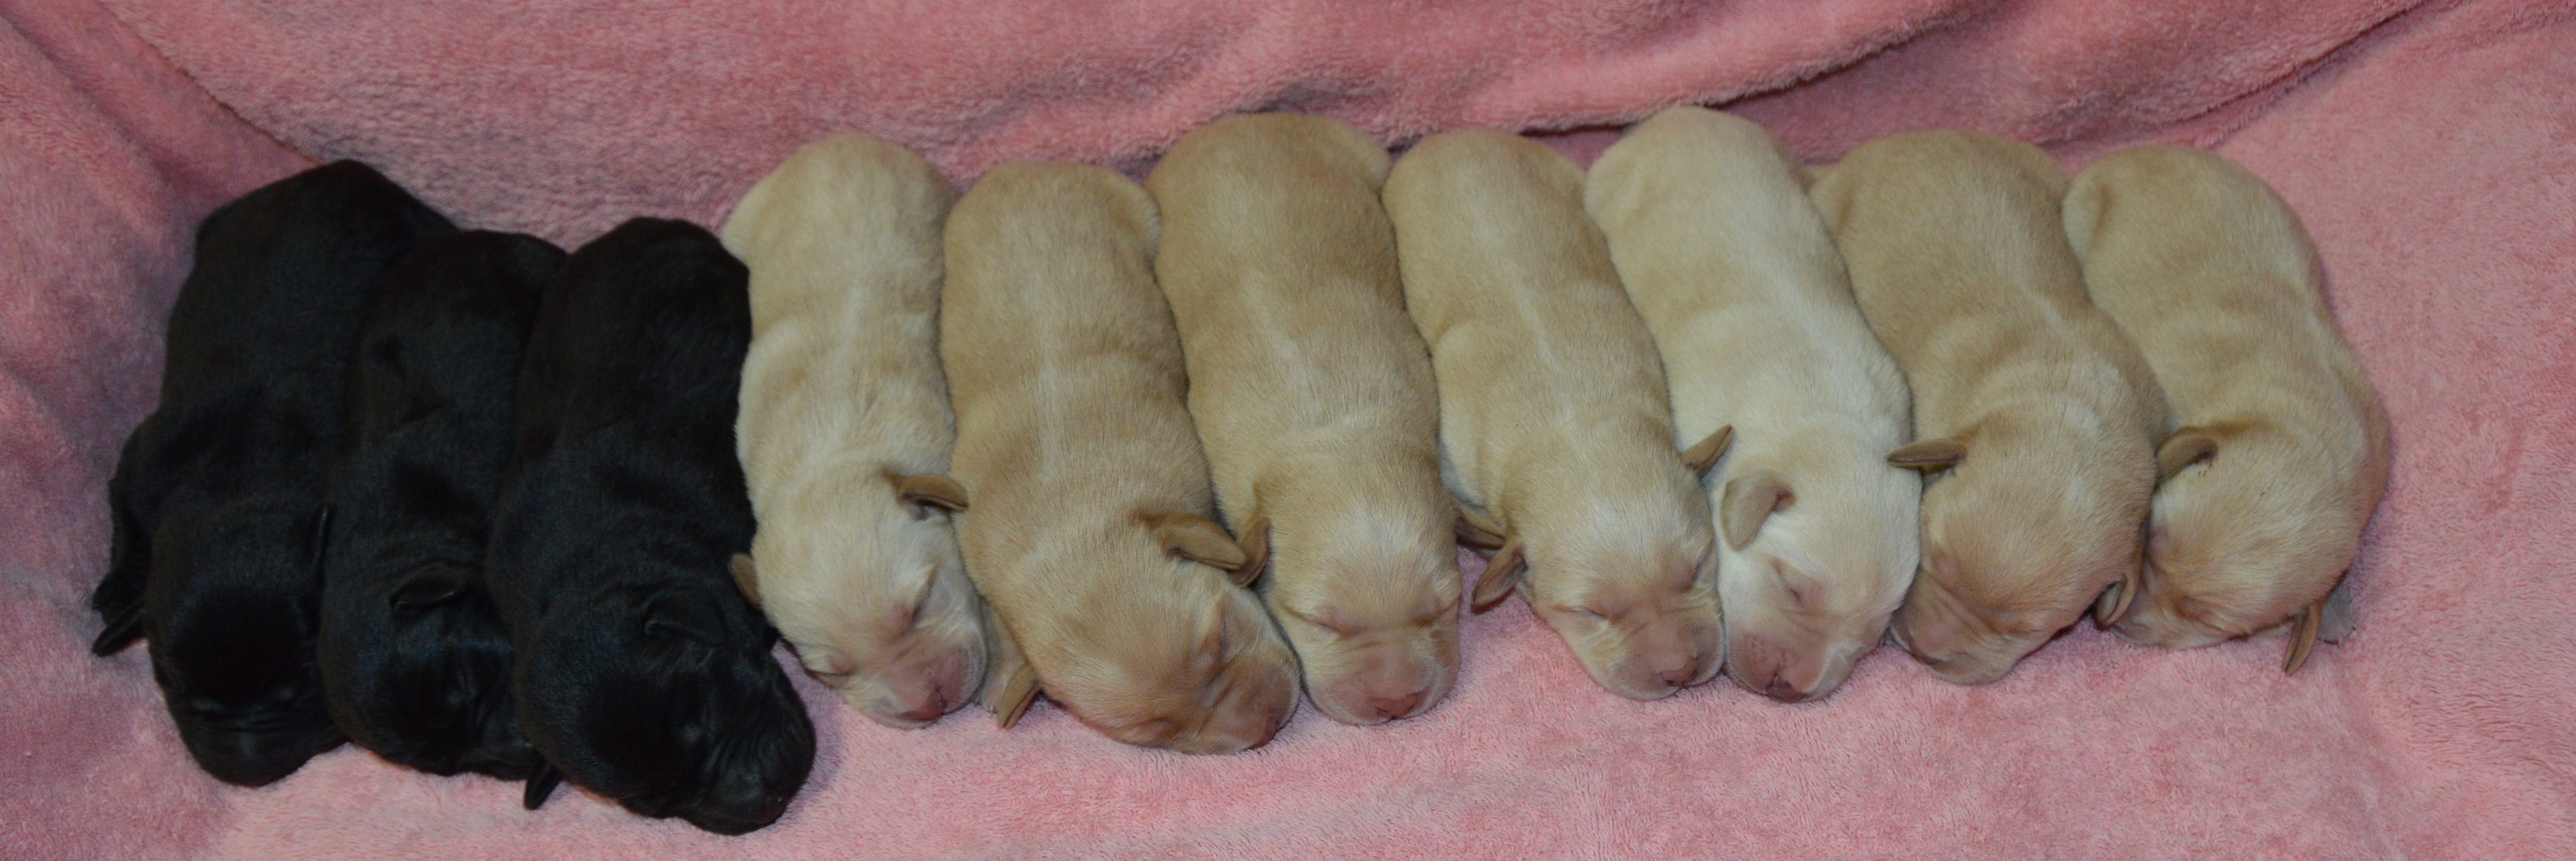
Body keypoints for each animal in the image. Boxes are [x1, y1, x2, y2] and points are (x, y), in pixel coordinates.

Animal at [91, 161, 454, 786]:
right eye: (186, 696)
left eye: (300, 688)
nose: (252, 771)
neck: (242, 482)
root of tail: (344, 172)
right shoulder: (142, 462)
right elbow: (128, 520)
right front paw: (120, 587)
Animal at [941, 161, 1299, 754]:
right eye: (1157, 732)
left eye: (1222, 640)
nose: (1269, 724)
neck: (1070, 528)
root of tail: (1023, 168)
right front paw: (1005, 675)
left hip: (1135, 208)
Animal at [2062, 145, 2390, 674]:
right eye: (2151, 539)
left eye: (2205, 618)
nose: (2117, 621)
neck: (2299, 425)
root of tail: (2134, 152)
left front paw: (2335, 608)